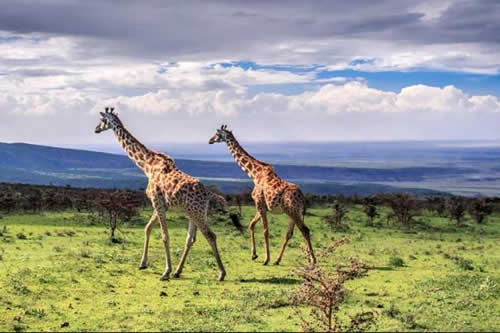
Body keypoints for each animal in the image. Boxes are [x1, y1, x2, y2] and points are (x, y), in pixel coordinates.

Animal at [94, 107, 227, 278]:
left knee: (210, 235)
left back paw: (221, 273)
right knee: (191, 239)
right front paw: (143, 264)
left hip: (196, 212)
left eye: (102, 120)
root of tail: (208, 194)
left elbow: (164, 235)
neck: (147, 166)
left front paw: (165, 271)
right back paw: (178, 271)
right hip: (194, 212)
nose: (96, 129)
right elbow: (147, 228)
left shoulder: (156, 201)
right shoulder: (161, 204)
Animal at [209, 124, 314, 264]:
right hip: (293, 212)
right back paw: (278, 260)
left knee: (305, 230)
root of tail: (303, 198)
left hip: (293, 211)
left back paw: (313, 260)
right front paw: (254, 255)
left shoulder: (259, 204)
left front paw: (266, 259)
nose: (210, 140)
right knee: (290, 234)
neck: (254, 174)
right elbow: (251, 225)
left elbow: (265, 230)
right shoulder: (262, 207)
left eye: (217, 134)